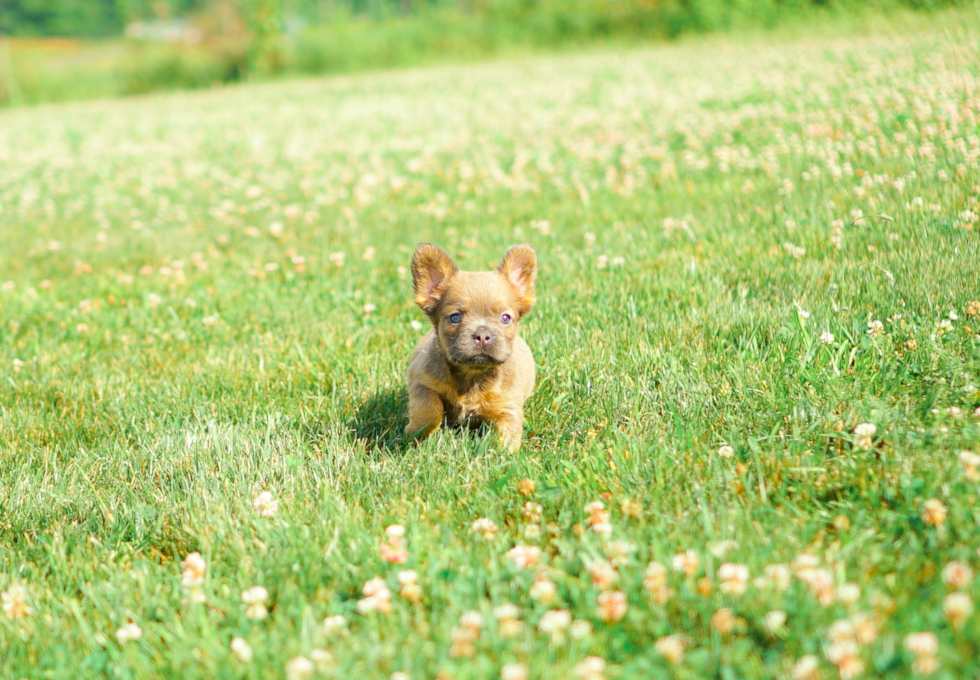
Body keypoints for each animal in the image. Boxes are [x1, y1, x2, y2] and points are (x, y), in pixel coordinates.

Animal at [408, 242, 540, 448]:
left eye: (505, 318)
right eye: (455, 317)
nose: (483, 335)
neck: (472, 375)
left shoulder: (508, 406)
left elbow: (507, 435)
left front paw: (502, 453)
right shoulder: (420, 382)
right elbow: (429, 408)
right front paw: (416, 432)